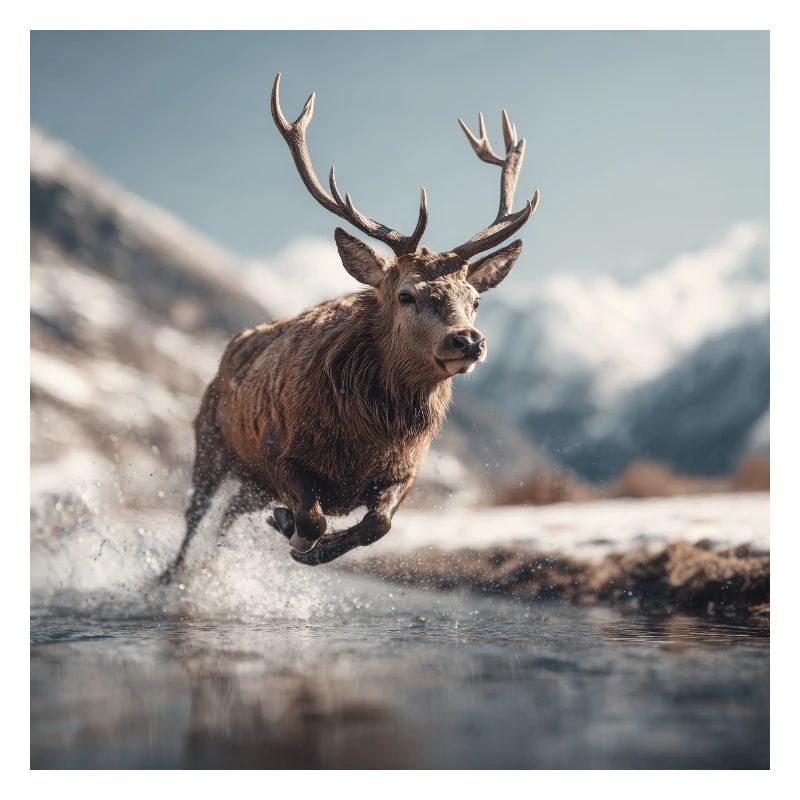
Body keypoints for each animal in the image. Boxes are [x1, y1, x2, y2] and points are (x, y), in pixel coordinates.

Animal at [160, 73, 539, 582]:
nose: (468, 340)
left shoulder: (405, 473)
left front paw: (306, 542)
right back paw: (170, 578)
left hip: (248, 482)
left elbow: (377, 525)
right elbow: (313, 519)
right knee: (195, 514)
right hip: (212, 442)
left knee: (226, 518)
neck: (365, 443)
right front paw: (295, 533)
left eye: (475, 301)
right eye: (406, 294)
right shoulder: (279, 451)